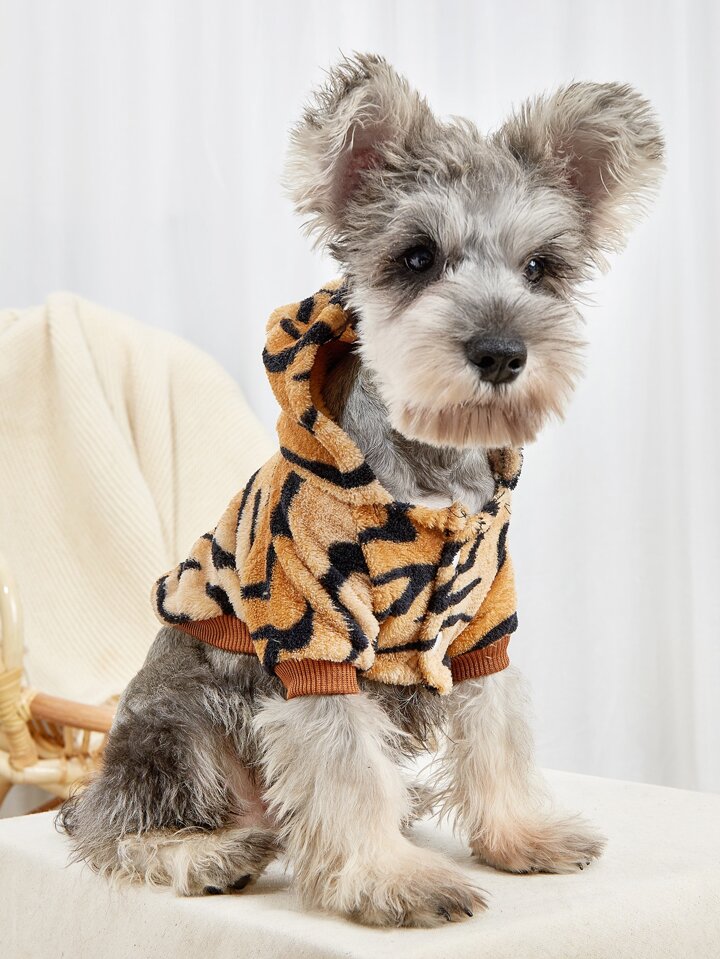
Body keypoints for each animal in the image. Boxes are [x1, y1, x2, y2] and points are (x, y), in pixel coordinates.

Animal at [59, 54, 664, 927]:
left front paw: (520, 835)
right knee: (120, 831)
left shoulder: (483, 628)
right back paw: (214, 854)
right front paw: (391, 878)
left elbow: (498, 735)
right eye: (417, 256)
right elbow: (346, 765)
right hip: (175, 732)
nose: (500, 351)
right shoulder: (317, 642)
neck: (434, 479)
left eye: (540, 267)